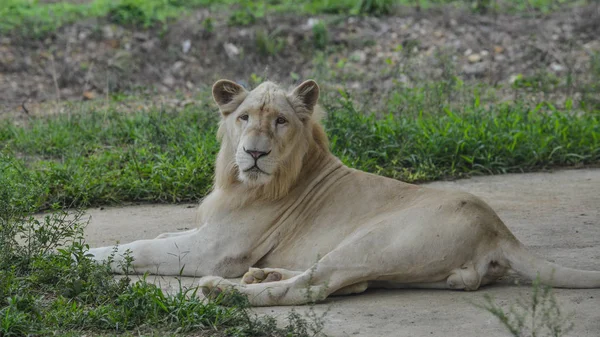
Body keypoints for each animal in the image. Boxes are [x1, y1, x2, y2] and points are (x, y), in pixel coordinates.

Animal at [89, 80, 600, 306]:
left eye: (280, 121)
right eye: (244, 117)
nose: (254, 153)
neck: (239, 181)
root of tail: (501, 231)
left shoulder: (216, 251)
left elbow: (138, 248)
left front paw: (78, 255)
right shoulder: (207, 232)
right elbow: (156, 236)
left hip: (373, 240)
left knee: (314, 287)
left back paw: (227, 291)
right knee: (341, 281)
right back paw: (261, 275)